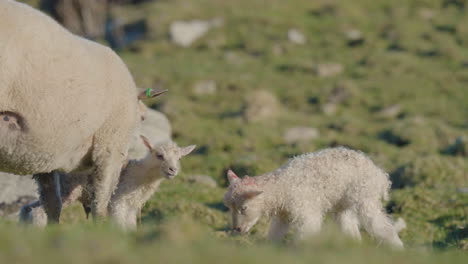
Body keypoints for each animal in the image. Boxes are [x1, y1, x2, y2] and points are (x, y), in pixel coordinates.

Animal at [0, 0, 166, 224]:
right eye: (142, 118)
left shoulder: (44, 148)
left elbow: (52, 201)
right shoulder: (110, 146)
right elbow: (101, 200)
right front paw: (102, 227)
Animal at [19, 137, 196, 230]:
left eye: (179, 158)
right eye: (159, 155)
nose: (173, 170)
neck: (138, 175)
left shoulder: (131, 205)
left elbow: (130, 225)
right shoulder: (117, 200)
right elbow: (119, 223)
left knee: (29, 207)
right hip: (67, 190)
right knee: (41, 211)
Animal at [223, 147, 402, 249]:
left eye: (244, 207)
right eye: (230, 208)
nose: (237, 229)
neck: (281, 188)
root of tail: (379, 173)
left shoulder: (306, 212)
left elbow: (306, 233)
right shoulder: (283, 216)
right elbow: (275, 234)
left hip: (365, 197)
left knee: (381, 225)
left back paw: (397, 248)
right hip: (343, 205)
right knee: (350, 227)